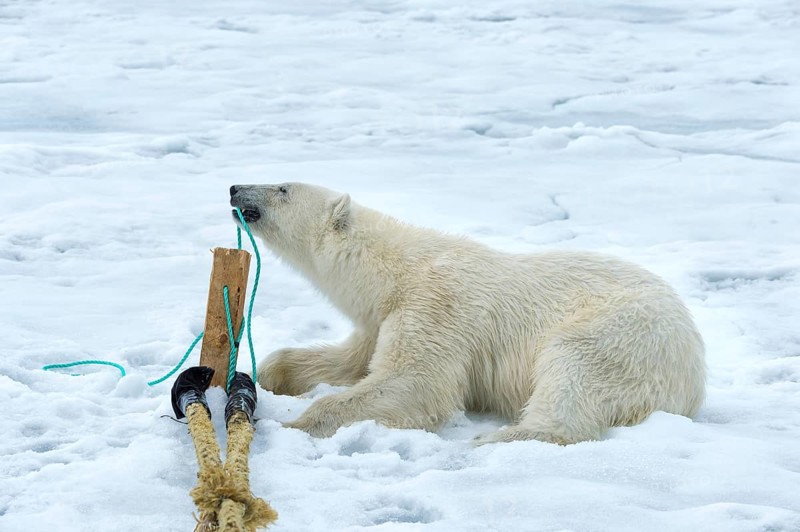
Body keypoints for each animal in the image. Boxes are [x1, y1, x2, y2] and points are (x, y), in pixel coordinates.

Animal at [229, 182, 706, 445]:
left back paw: (498, 437)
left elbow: (417, 381)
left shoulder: (436, 306)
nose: (235, 188)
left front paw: (293, 423)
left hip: (624, 334)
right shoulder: (380, 318)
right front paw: (271, 374)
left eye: (283, 187)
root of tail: (694, 375)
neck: (395, 270)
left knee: (574, 368)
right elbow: (351, 361)